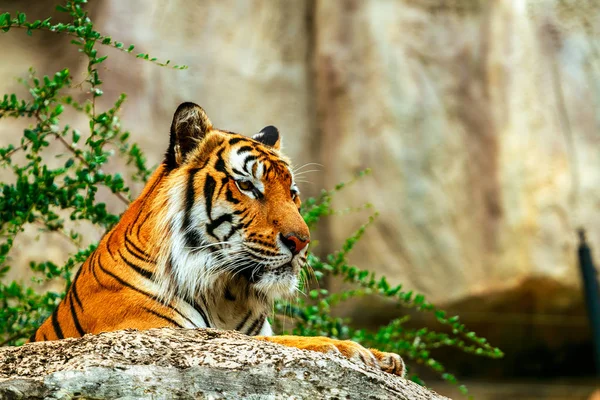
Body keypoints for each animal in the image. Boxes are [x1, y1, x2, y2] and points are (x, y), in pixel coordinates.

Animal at [28, 101, 404, 376]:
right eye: (247, 185)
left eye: (293, 193)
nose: (301, 242)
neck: (228, 295)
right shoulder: (167, 335)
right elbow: (282, 343)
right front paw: (347, 348)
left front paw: (384, 357)